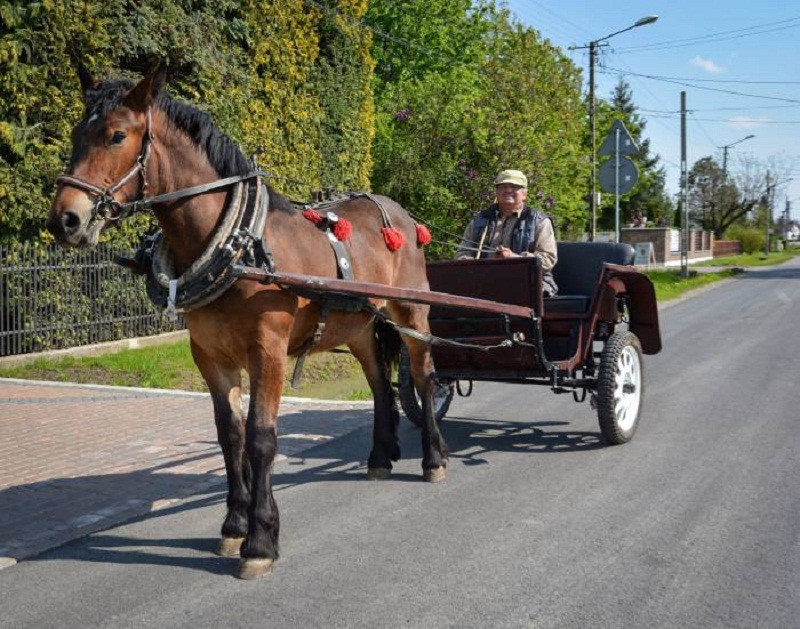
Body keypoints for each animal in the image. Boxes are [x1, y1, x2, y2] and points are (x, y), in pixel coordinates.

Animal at [48, 67, 450, 580]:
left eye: (117, 135)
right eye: (77, 133)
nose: (65, 219)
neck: (238, 247)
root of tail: (398, 212)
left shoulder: (268, 352)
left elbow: (261, 438)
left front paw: (260, 540)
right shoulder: (210, 355)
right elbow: (230, 435)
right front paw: (234, 525)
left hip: (410, 312)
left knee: (423, 377)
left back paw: (434, 458)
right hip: (359, 325)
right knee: (381, 385)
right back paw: (380, 457)